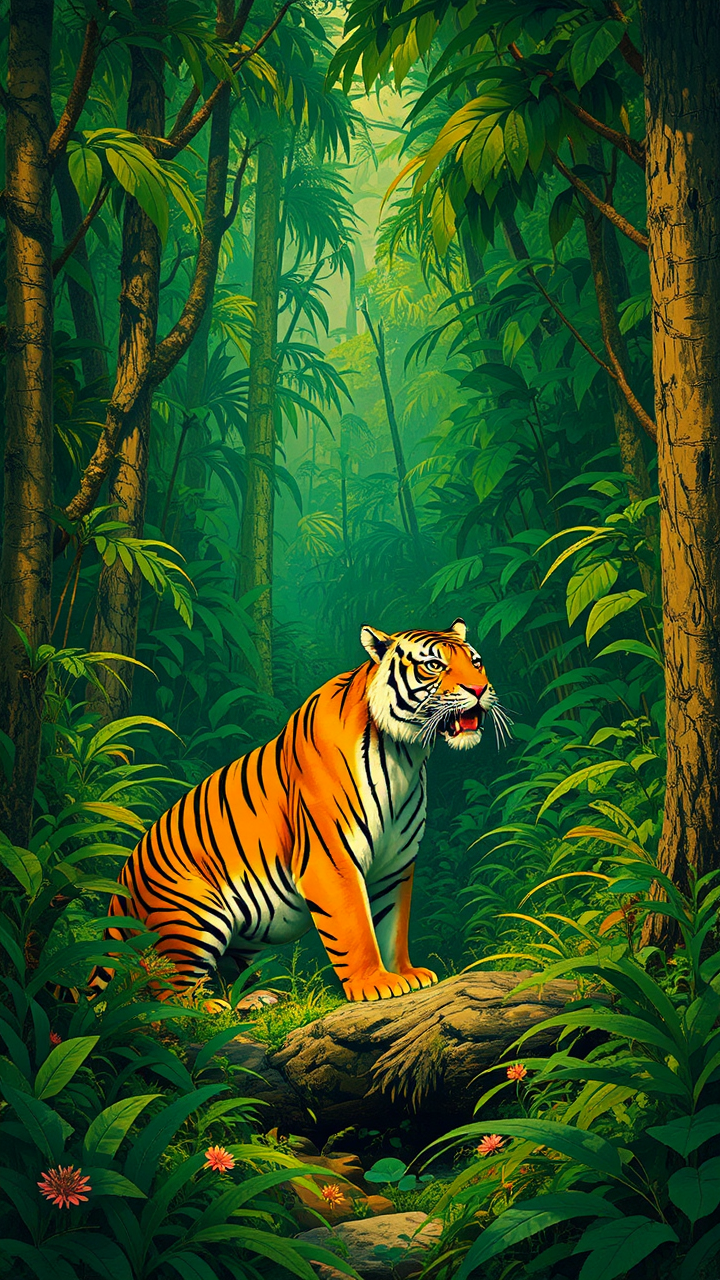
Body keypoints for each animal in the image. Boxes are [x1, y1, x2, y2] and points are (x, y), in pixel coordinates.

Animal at [90, 618, 509, 1003]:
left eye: (477, 662)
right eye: (434, 665)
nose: (479, 689)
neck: (404, 753)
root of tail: (118, 891)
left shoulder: (396, 863)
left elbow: (393, 924)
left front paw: (405, 974)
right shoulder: (331, 858)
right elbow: (355, 927)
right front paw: (375, 984)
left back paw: (255, 997)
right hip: (193, 914)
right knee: (162, 995)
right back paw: (207, 1008)